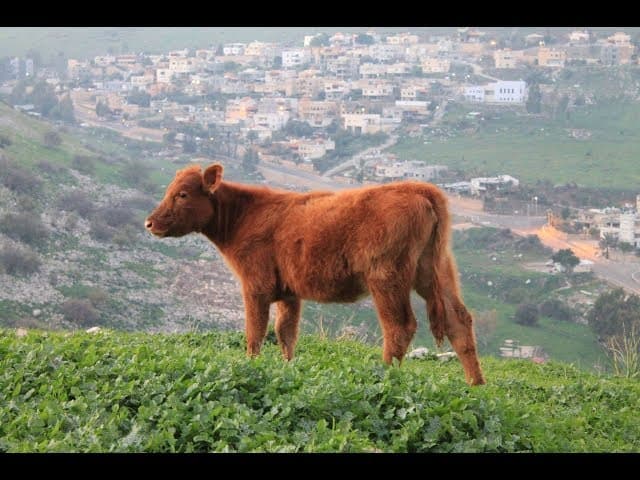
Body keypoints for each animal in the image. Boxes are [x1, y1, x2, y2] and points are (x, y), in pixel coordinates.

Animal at [146, 163, 485, 385]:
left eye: (182, 194)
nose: (150, 222)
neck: (244, 217)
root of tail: (417, 187)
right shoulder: (288, 292)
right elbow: (286, 333)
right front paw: (287, 368)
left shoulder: (255, 284)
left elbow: (255, 331)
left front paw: (250, 367)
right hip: (436, 270)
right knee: (458, 320)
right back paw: (475, 385)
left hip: (387, 275)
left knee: (400, 326)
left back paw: (384, 375)